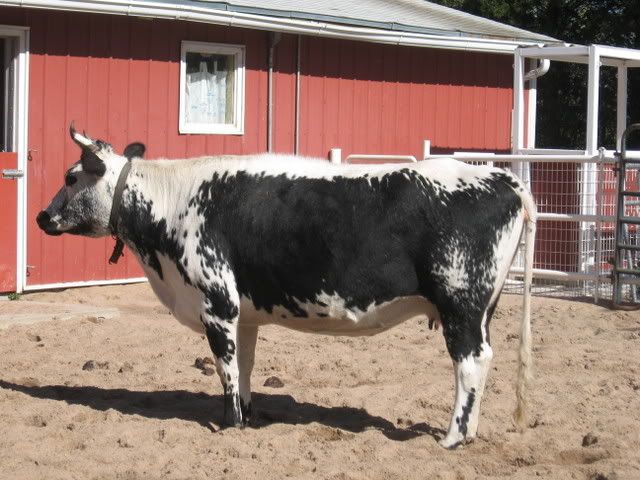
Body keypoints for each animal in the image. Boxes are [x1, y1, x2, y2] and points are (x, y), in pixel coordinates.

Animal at [36, 126, 536, 449]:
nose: (42, 216)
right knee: (481, 362)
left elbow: (224, 369)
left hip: (461, 302)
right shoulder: (243, 312)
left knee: (470, 362)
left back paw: (452, 438)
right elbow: (245, 366)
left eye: (70, 177)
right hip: (481, 308)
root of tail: (502, 177)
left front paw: (231, 425)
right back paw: (469, 434)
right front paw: (248, 415)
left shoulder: (216, 303)